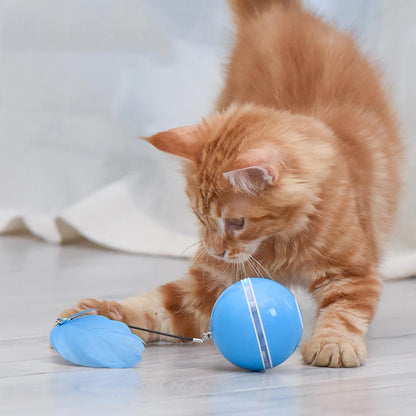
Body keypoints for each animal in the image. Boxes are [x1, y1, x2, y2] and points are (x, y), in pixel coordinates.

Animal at [60, 0, 402, 368]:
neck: (279, 244)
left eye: (236, 222)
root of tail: (279, 12)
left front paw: (333, 343)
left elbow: (344, 312)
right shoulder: (208, 284)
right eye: (200, 219)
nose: (215, 250)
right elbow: (154, 307)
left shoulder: (354, 273)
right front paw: (99, 315)